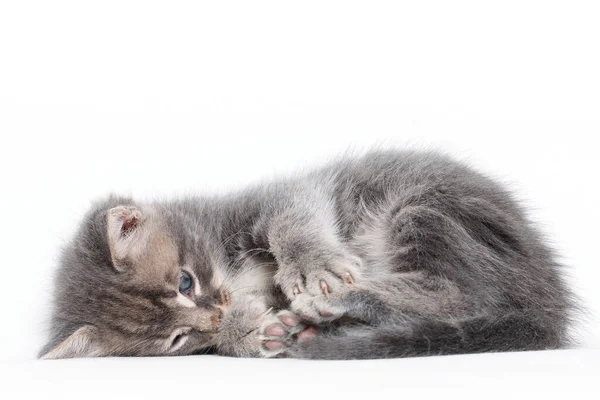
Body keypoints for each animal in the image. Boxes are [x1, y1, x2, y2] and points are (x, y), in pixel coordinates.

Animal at [38, 149, 576, 360]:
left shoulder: (277, 199)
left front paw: (313, 266)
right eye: (177, 338)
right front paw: (248, 330)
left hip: (422, 206)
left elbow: (291, 218)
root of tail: (551, 304)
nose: (215, 319)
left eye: (186, 282)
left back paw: (340, 302)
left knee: (461, 295)